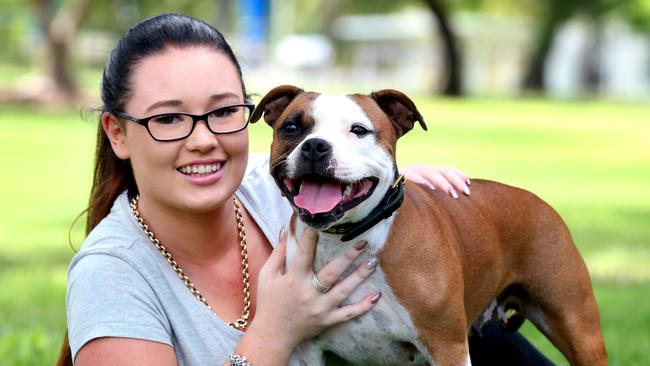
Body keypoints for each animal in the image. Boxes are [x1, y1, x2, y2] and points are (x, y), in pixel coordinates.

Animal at [249, 86, 608, 366]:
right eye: (291, 127)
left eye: (359, 130)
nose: (315, 145)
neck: (344, 238)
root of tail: (534, 199)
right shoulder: (307, 349)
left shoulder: (446, 346)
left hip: (579, 329)